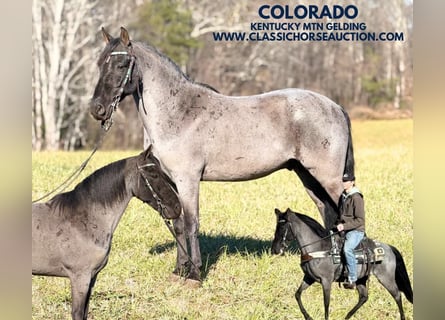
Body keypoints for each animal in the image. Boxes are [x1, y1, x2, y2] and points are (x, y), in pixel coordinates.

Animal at [31, 148, 180, 320]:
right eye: (154, 174)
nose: (177, 208)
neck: (85, 220)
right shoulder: (80, 277)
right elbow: (78, 313)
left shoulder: (92, 277)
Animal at [89, 28, 354, 282]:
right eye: (100, 63)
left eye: (121, 65)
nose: (97, 109)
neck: (179, 112)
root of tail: (335, 107)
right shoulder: (170, 181)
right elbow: (178, 224)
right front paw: (179, 270)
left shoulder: (188, 180)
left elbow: (191, 223)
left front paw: (194, 274)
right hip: (308, 176)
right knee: (327, 213)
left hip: (329, 179)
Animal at [270, 208, 412, 320]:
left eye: (283, 227)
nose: (274, 250)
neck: (318, 248)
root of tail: (389, 248)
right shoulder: (309, 278)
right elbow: (298, 294)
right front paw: (308, 316)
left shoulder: (326, 281)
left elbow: (326, 304)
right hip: (361, 279)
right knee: (364, 297)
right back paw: (347, 316)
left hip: (386, 278)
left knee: (397, 295)